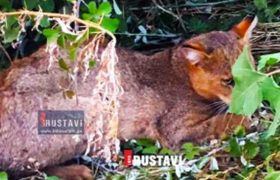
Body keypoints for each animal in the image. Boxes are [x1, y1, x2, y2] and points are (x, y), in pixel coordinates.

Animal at [0, 16, 258, 179]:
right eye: (229, 81)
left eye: (253, 69)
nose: (252, 93)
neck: (178, 71)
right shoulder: (174, 131)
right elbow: (225, 121)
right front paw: (249, 117)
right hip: (91, 110)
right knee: (22, 168)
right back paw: (79, 171)